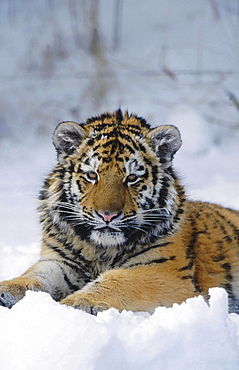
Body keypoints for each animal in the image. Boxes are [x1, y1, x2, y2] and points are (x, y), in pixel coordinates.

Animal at [0, 110, 239, 316]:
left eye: (131, 178)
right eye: (92, 175)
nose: (107, 215)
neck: (101, 250)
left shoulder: (163, 270)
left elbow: (115, 283)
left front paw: (71, 306)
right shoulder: (60, 262)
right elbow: (31, 279)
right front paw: (5, 290)